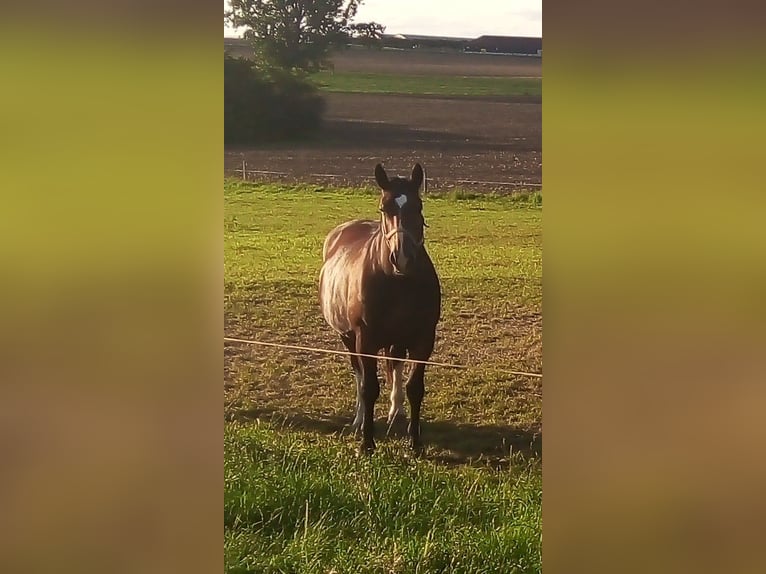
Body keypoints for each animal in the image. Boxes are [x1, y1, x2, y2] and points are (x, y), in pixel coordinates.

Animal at [320, 162, 444, 454]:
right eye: (384, 208)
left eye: (418, 206)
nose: (403, 257)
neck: (397, 282)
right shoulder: (365, 340)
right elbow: (369, 388)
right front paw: (367, 443)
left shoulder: (424, 339)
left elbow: (415, 388)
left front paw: (415, 443)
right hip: (347, 337)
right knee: (358, 373)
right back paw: (358, 419)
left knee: (395, 364)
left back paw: (396, 413)